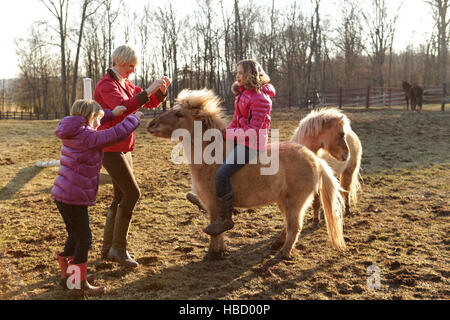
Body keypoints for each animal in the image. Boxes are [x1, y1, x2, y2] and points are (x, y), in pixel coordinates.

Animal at [146, 88, 346, 260]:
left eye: (179, 114)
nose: (151, 124)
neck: (211, 156)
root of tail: (315, 159)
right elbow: (219, 232)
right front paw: (219, 252)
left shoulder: (213, 205)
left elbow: (215, 232)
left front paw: (212, 255)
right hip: (284, 201)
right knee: (289, 226)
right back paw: (277, 245)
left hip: (294, 202)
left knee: (295, 227)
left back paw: (283, 252)